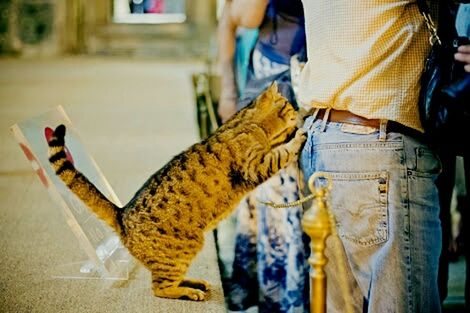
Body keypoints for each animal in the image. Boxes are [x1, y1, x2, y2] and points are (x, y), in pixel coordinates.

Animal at [46, 83, 304, 300]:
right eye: (288, 104)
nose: (299, 110)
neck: (250, 123)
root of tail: (121, 213)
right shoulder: (256, 166)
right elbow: (282, 153)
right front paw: (299, 136)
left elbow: (279, 148)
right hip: (183, 250)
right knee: (160, 288)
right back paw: (190, 292)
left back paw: (195, 283)